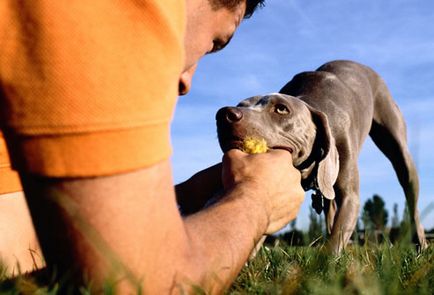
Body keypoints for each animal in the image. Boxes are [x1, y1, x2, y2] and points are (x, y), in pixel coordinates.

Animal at [216, 60, 428, 254]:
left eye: (282, 109)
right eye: (241, 104)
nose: (224, 114)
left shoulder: (350, 196)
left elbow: (335, 241)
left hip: (399, 149)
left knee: (412, 201)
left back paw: (421, 244)